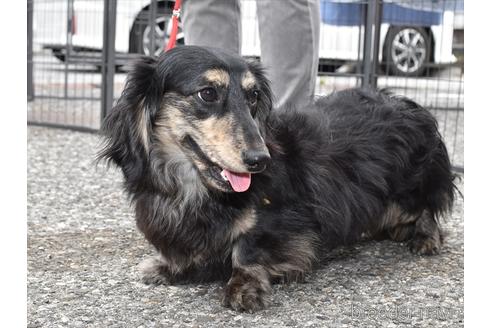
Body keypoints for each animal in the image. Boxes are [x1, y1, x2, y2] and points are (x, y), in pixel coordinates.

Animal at [98, 44, 456, 312]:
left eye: (253, 96)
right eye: (207, 93)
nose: (260, 160)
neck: (197, 190)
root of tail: (407, 103)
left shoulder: (288, 223)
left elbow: (247, 249)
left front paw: (244, 285)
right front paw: (166, 268)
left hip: (411, 188)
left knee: (428, 207)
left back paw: (425, 237)